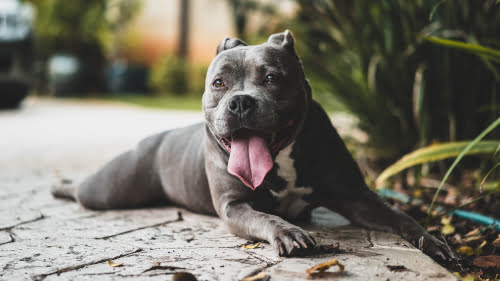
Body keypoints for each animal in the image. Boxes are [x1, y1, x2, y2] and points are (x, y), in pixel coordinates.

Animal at [51, 29, 458, 260]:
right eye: (219, 83)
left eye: (272, 78)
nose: (240, 102)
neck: (282, 159)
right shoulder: (235, 206)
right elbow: (265, 216)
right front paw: (288, 232)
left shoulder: (356, 197)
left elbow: (399, 216)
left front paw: (431, 241)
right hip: (110, 188)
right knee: (84, 190)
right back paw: (60, 187)